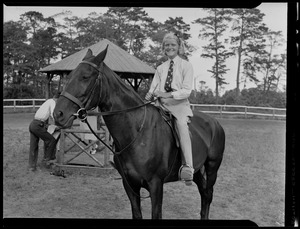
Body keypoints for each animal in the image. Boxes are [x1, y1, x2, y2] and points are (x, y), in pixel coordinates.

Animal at [53, 45, 225, 219]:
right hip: (197, 171)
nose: (58, 114)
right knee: (203, 194)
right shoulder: (129, 185)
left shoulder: (156, 185)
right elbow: (137, 214)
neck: (136, 134)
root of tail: (215, 123)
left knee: (207, 194)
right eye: (69, 76)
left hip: (212, 167)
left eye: (85, 76)